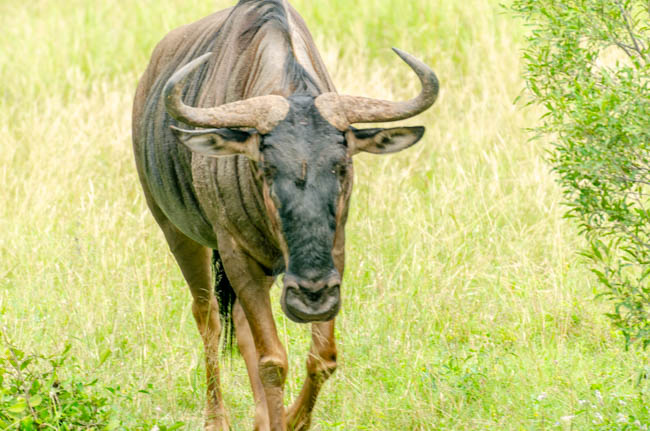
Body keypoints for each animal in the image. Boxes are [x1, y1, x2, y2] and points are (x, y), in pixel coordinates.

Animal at [132, 0, 438, 430]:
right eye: (266, 167)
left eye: (342, 165)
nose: (310, 297)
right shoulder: (236, 253)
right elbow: (272, 361)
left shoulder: (335, 253)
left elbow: (322, 358)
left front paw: (292, 419)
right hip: (179, 235)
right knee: (208, 317)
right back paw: (217, 419)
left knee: (239, 325)